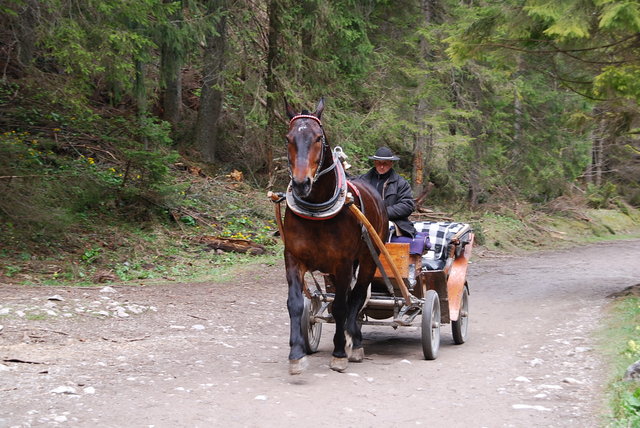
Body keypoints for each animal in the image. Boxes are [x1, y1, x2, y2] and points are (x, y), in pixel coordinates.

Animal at [282, 98, 388, 372]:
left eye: (319, 138)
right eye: (288, 137)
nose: (301, 184)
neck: (316, 209)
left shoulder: (343, 263)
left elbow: (341, 306)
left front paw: (340, 353)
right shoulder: (294, 258)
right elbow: (295, 303)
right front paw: (296, 354)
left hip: (369, 258)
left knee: (357, 296)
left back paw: (355, 341)